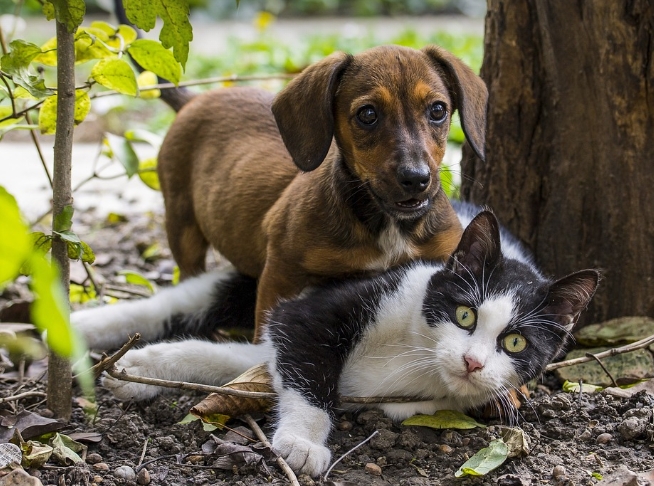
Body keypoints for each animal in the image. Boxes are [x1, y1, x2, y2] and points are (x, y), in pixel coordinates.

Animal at [70, 203, 600, 476]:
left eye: (515, 344)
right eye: (465, 314)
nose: (472, 362)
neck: (418, 354)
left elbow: (240, 360)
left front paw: (143, 369)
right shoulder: (320, 309)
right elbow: (307, 368)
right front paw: (303, 443)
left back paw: (128, 366)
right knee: (180, 301)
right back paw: (79, 329)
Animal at [158, 46, 486, 342]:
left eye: (438, 110)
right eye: (368, 114)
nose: (416, 179)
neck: (387, 224)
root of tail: (194, 99)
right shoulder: (281, 272)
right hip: (182, 225)